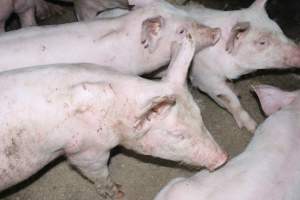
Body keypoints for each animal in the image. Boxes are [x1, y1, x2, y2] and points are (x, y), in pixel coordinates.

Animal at [0, 30, 226, 200]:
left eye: (200, 116)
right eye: (178, 134)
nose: (223, 158)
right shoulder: (85, 150)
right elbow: (98, 172)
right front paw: (119, 193)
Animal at [176, 0, 300, 133]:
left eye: (279, 29)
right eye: (262, 42)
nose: (298, 52)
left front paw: (236, 91)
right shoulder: (205, 77)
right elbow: (232, 100)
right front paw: (253, 127)